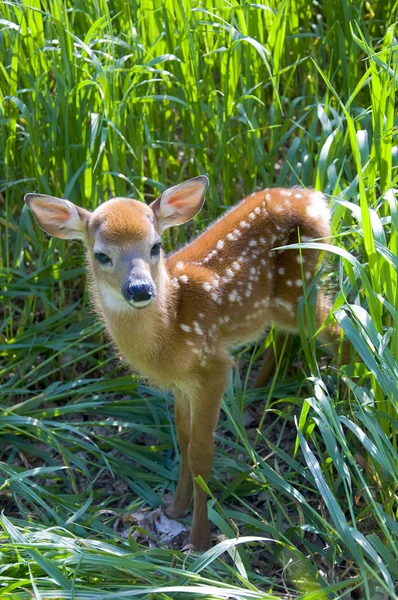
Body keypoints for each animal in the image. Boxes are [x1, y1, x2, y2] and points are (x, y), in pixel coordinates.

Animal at [24, 176, 346, 552]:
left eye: (156, 246)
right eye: (101, 255)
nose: (140, 289)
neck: (170, 330)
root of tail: (313, 199)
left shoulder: (212, 367)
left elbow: (201, 454)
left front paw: (201, 540)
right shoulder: (181, 384)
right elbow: (183, 440)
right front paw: (174, 509)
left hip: (299, 289)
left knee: (338, 330)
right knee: (289, 336)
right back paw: (260, 390)